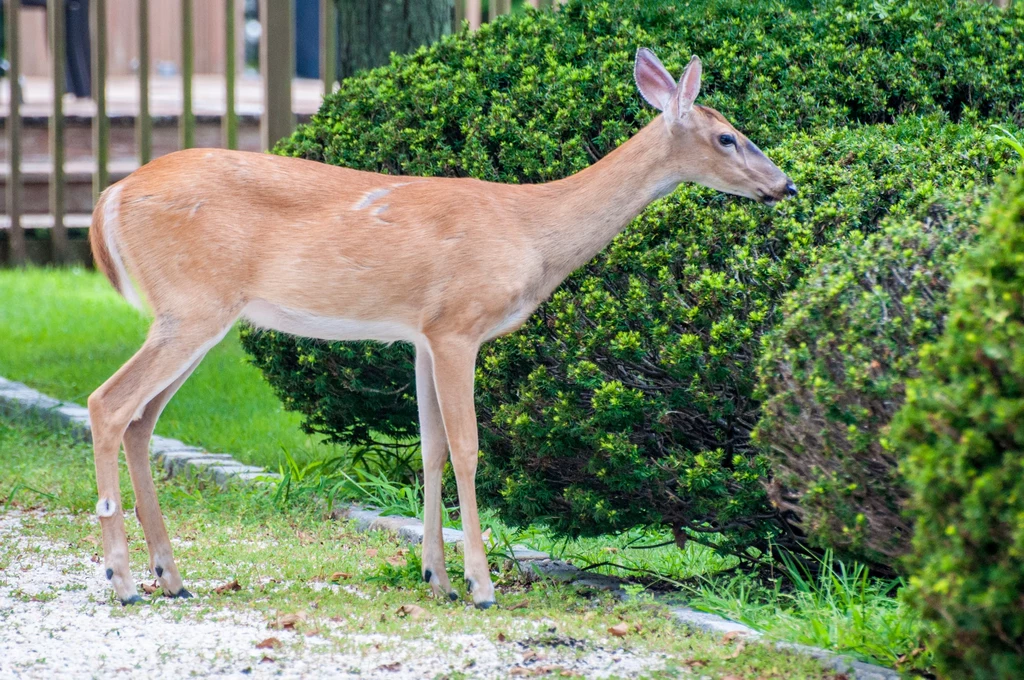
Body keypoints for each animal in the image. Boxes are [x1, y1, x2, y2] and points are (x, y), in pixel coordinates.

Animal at [86, 50, 790, 606]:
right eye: (728, 138)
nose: (782, 184)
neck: (531, 229)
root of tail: (109, 198)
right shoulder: (458, 324)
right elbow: (470, 447)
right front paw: (480, 585)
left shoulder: (420, 335)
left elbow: (431, 449)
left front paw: (437, 578)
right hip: (193, 305)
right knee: (107, 403)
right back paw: (123, 581)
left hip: (195, 315)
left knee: (141, 421)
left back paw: (172, 577)